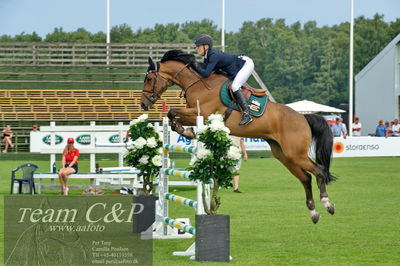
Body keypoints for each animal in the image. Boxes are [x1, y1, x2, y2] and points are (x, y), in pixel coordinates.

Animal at [141, 50, 334, 224]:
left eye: (149, 79)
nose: (143, 104)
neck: (197, 84)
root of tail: (303, 117)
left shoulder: (200, 113)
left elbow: (173, 112)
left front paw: (187, 131)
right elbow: (172, 115)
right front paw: (186, 131)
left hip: (296, 154)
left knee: (319, 171)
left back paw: (327, 204)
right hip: (284, 155)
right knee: (306, 178)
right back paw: (313, 213)